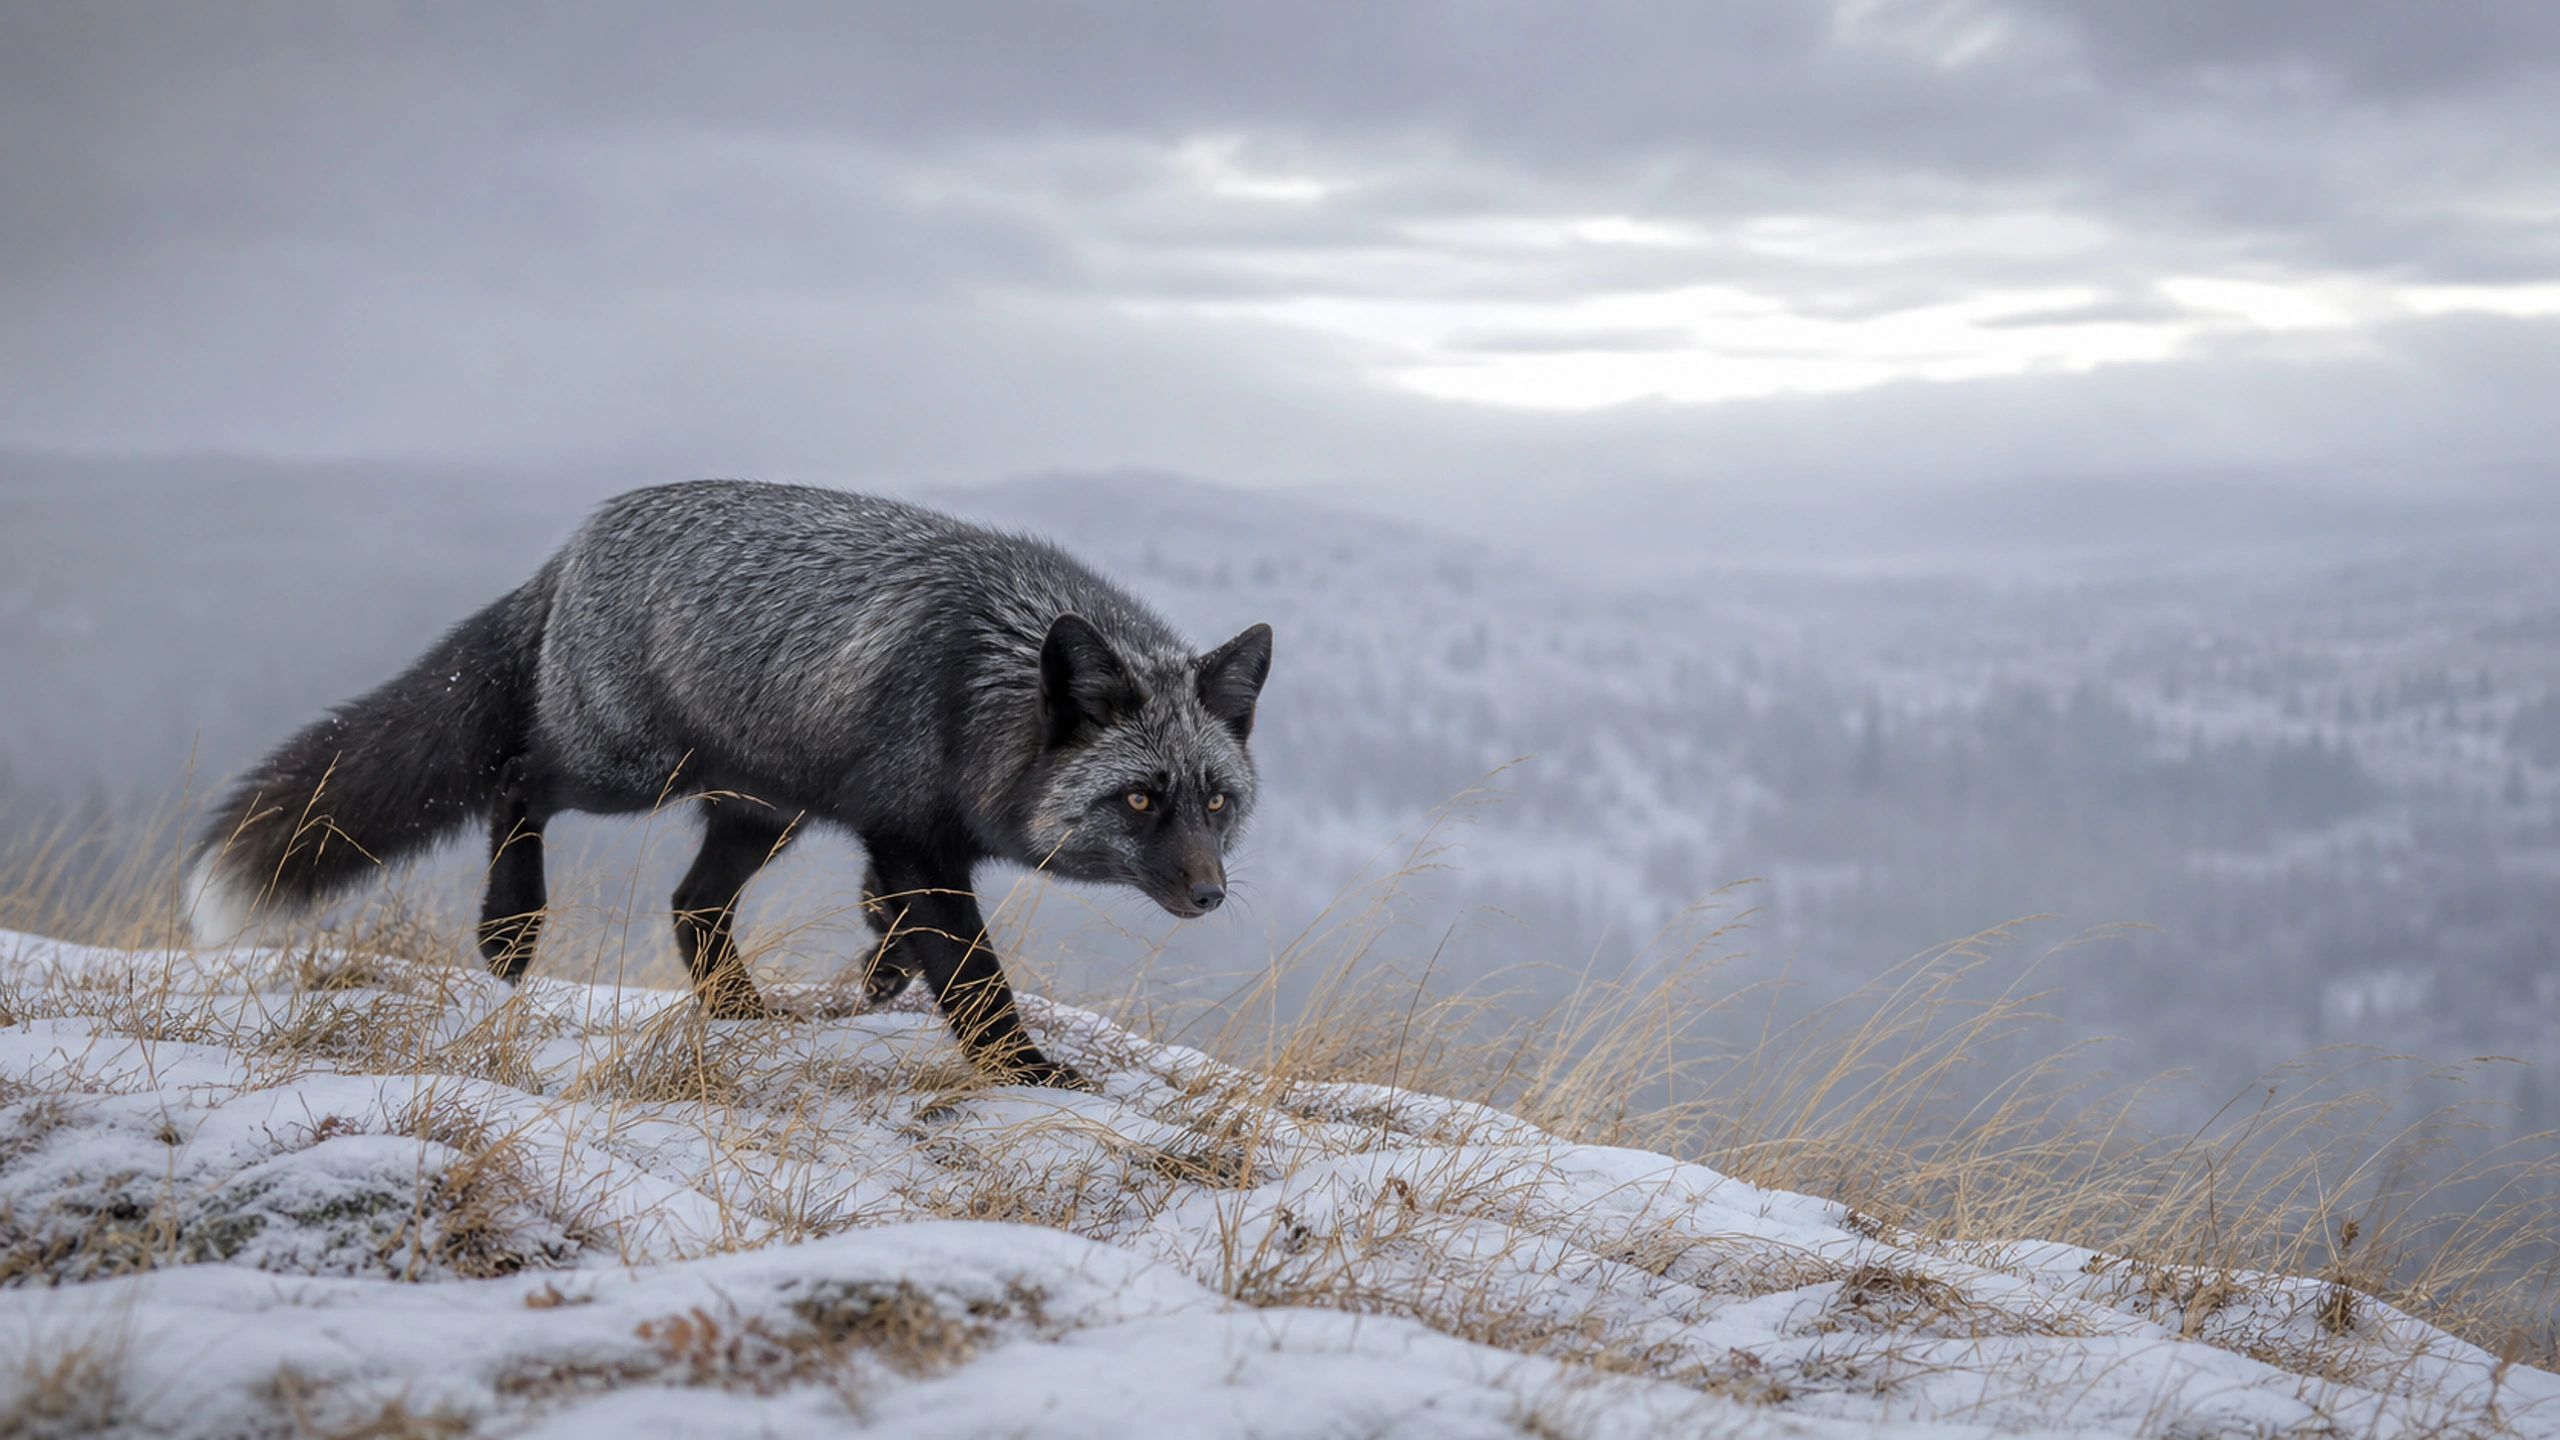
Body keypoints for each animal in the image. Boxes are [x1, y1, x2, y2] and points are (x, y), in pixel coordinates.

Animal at [188, 480, 1274, 1089]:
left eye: (1218, 802)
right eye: (1140, 800)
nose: (1212, 894)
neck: (979, 685)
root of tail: (582, 537)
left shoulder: (899, 834)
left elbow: (894, 926)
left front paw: (880, 977)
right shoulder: (913, 836)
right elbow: (971, 975)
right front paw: (1024, 1071)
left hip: (763, 813)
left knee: (689, 904)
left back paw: (744, 1011)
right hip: (627, 768)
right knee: (517, 777)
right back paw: (510, 930)